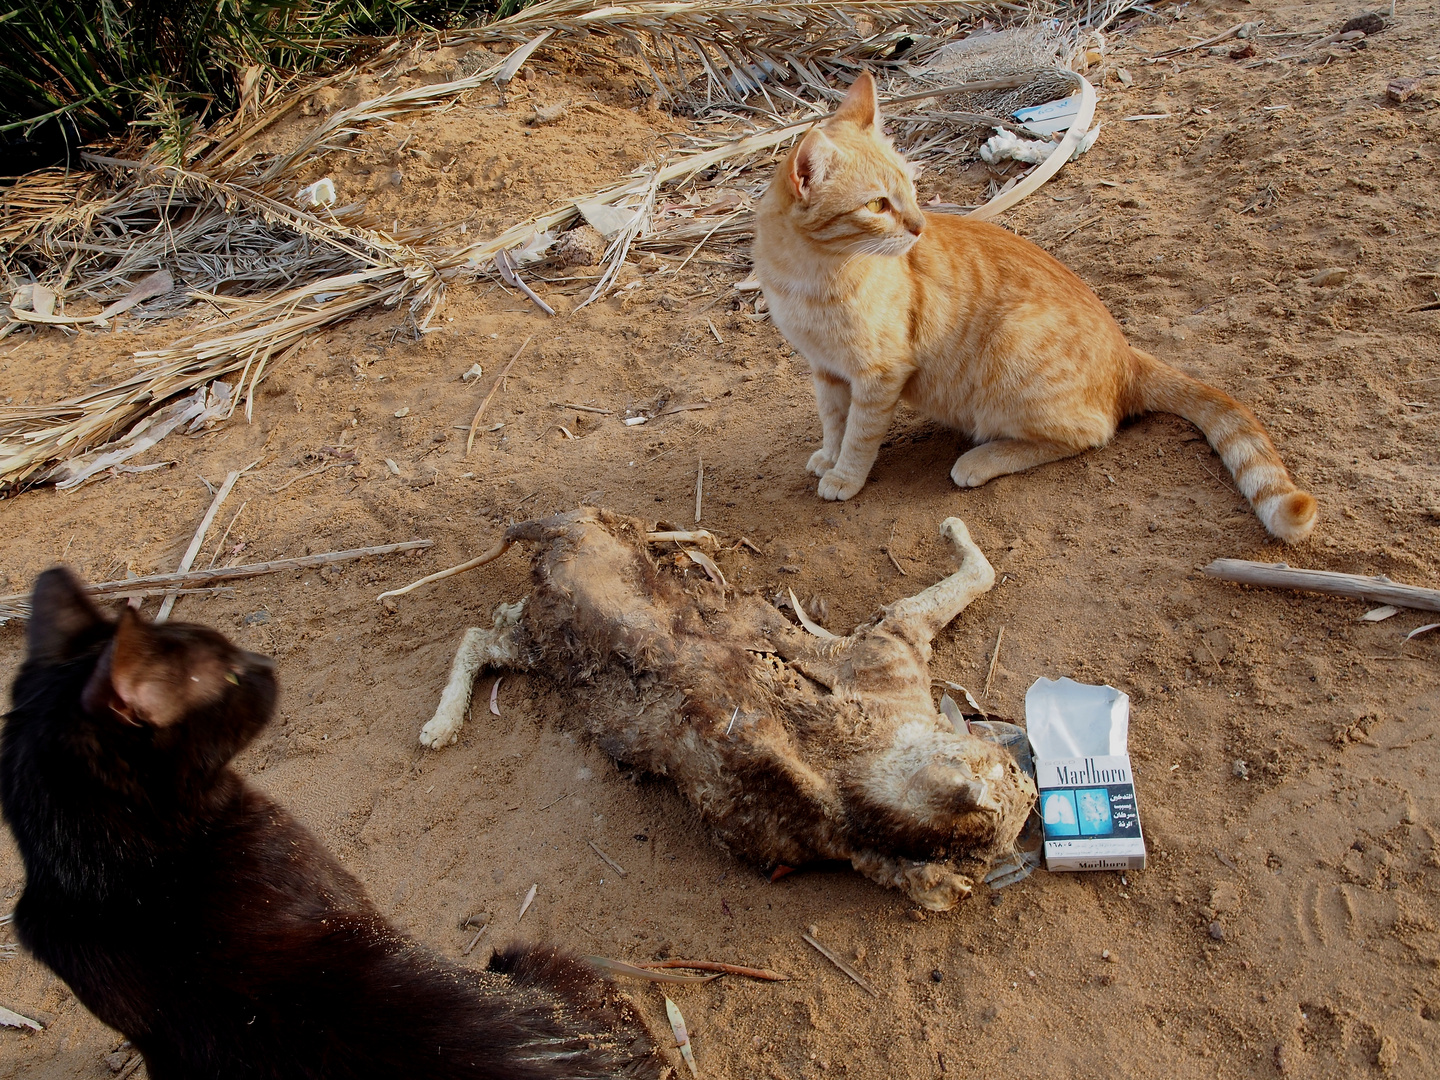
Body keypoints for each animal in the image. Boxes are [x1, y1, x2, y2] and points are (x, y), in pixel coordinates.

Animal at [754, 69, 1319, 541]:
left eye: (911, 190)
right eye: (877, 204)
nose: (918, 227)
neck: (808, 279)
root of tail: (1127, 354)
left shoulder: (878, 375)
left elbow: (860, 434)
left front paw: (844, 476)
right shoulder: (826, 370)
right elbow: (834, 421)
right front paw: (828, 458)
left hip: (1013, 350)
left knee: (1092, 433)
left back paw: (981, 459)